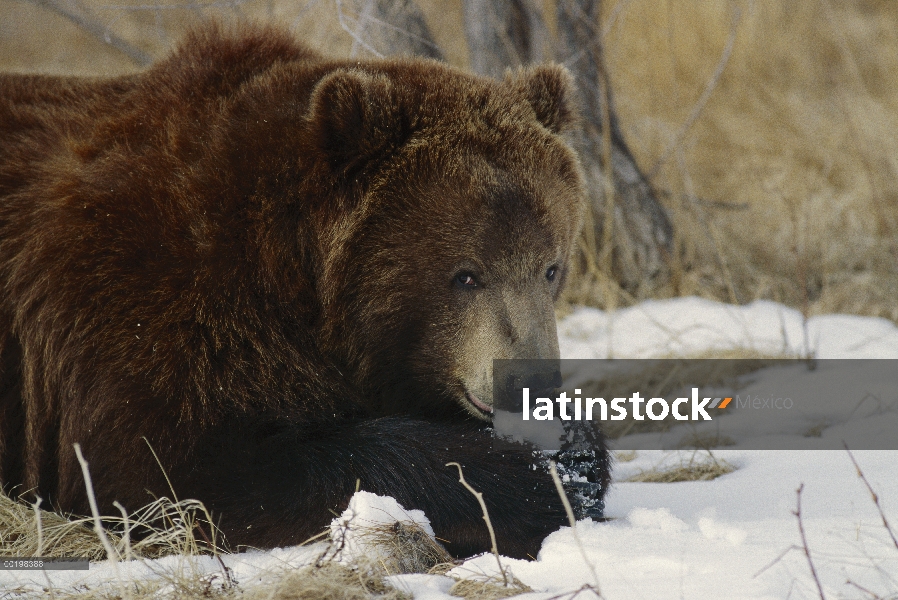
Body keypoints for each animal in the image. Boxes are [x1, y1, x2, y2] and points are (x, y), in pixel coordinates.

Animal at [1, 22, 608, 556]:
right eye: (466, 274)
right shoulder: (139, 305)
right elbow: (168, 473)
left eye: (550, 267)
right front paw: (539, 482)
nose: (531, 386)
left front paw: (576, 450)